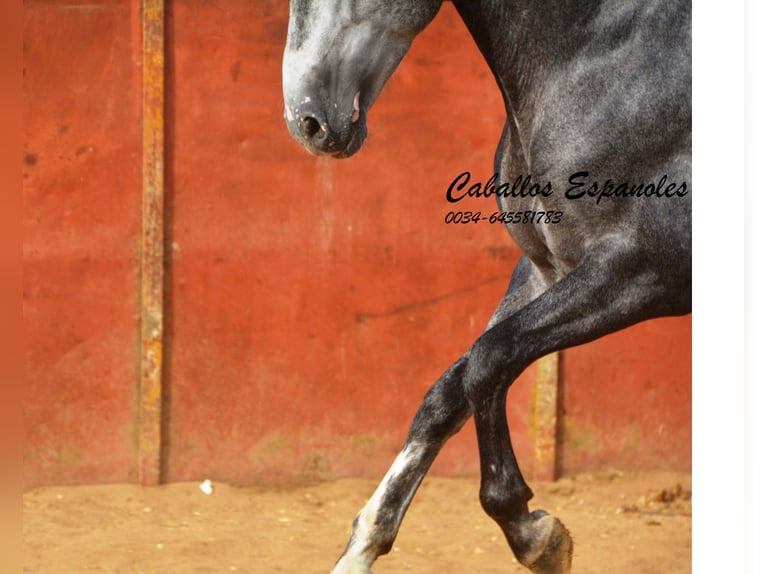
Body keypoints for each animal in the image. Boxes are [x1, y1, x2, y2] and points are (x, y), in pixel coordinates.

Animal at [284, 1, 692, 574]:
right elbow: (449, 390)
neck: (604, 60)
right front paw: (361, 547)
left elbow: (488, 359)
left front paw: (537, 535)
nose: (308, 122)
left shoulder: (645, 270)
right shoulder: (546, 270)